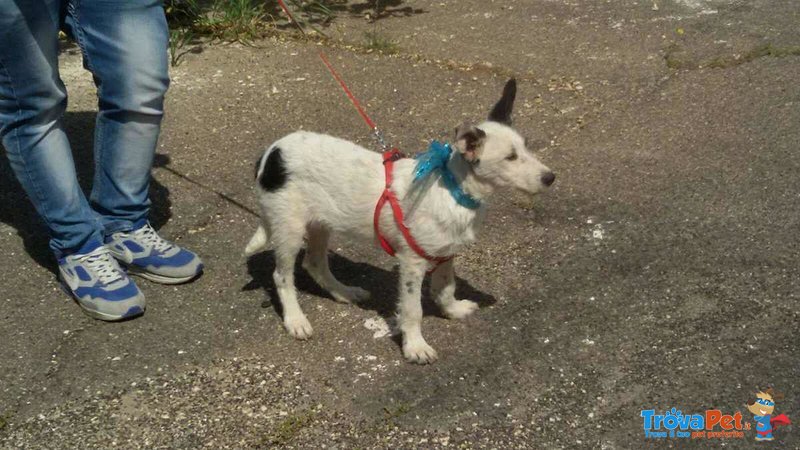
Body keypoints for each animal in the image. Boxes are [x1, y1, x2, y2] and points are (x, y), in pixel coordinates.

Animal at [247, 79, 552, 364]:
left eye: (526, 148)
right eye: (510, 157)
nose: (551, 178)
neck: (453, 189)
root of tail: (271, 153)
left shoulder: (446, 254)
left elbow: (445, 288)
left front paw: (452, 310)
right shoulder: (412, 262)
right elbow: (412, 309)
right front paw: (415, 346)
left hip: (320, 223)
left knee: (314, 263)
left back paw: (343, 292)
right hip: (289, 228)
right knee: (282, 276)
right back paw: (296, 320)